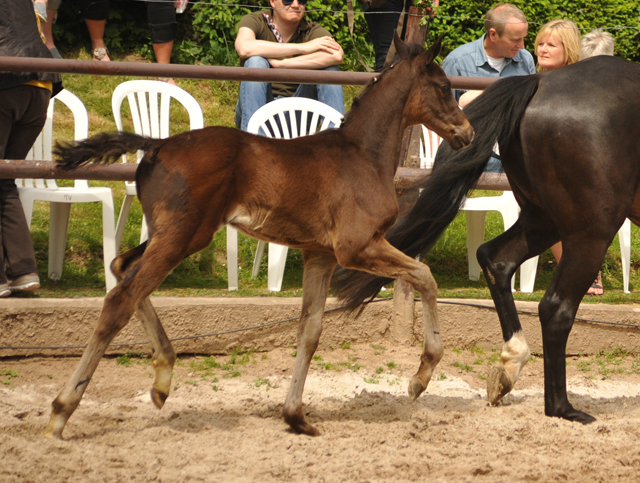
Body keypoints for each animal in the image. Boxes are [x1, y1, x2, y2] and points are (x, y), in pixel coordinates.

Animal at [45, 36, 472, 440]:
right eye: (444, 86)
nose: (466, 132)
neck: (362, 155)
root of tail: (158, 144)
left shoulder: (320, 256)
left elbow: (310, 331)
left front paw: (296, 416)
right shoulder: (357, 247)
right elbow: (424, 275)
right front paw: (420, 377)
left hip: (174, 234)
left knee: (121, 268)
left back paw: (163, 380)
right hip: (184, 237)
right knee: (121, 298)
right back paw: (62, 410)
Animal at [336, 56, 640, 426]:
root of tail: (540, 81)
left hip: (543, 219)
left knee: (496, 259)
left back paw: (509, 367)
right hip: (591, 230)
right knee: (556, 308)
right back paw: (562, 408)